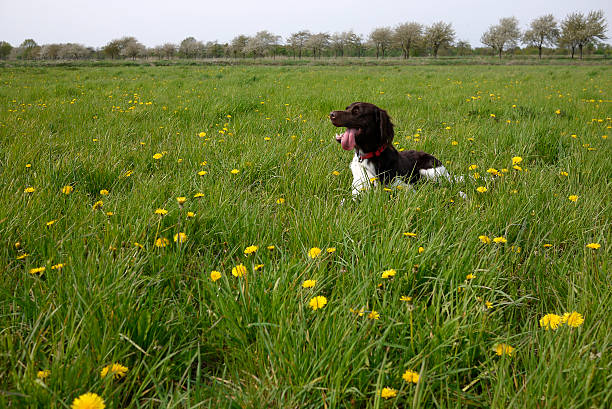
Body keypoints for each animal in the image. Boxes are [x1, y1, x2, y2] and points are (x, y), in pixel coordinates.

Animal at [330, 102, 464, 198]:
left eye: (356, 111)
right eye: (347, 108)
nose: (331, 114)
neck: (369, 156)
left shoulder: (404, 187)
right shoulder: (358, 189)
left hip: (429, 171)